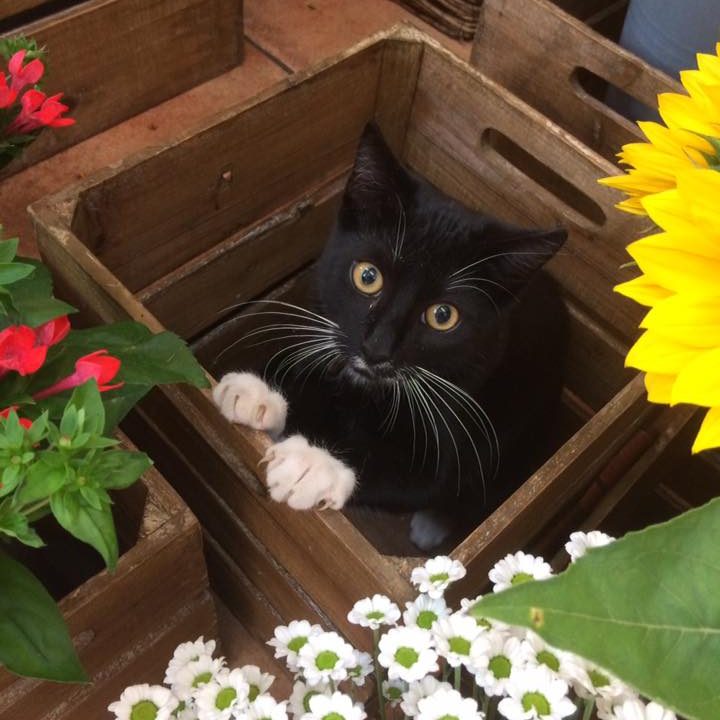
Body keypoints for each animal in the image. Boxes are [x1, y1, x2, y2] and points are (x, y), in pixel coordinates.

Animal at [214, 124, 568, 552]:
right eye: (368, 276)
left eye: (443, 316)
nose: (376, 349)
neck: (365, 392)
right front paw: (257, 393)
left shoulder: (458, 417)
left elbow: (417, 476)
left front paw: (314, 466)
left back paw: (433, 525)